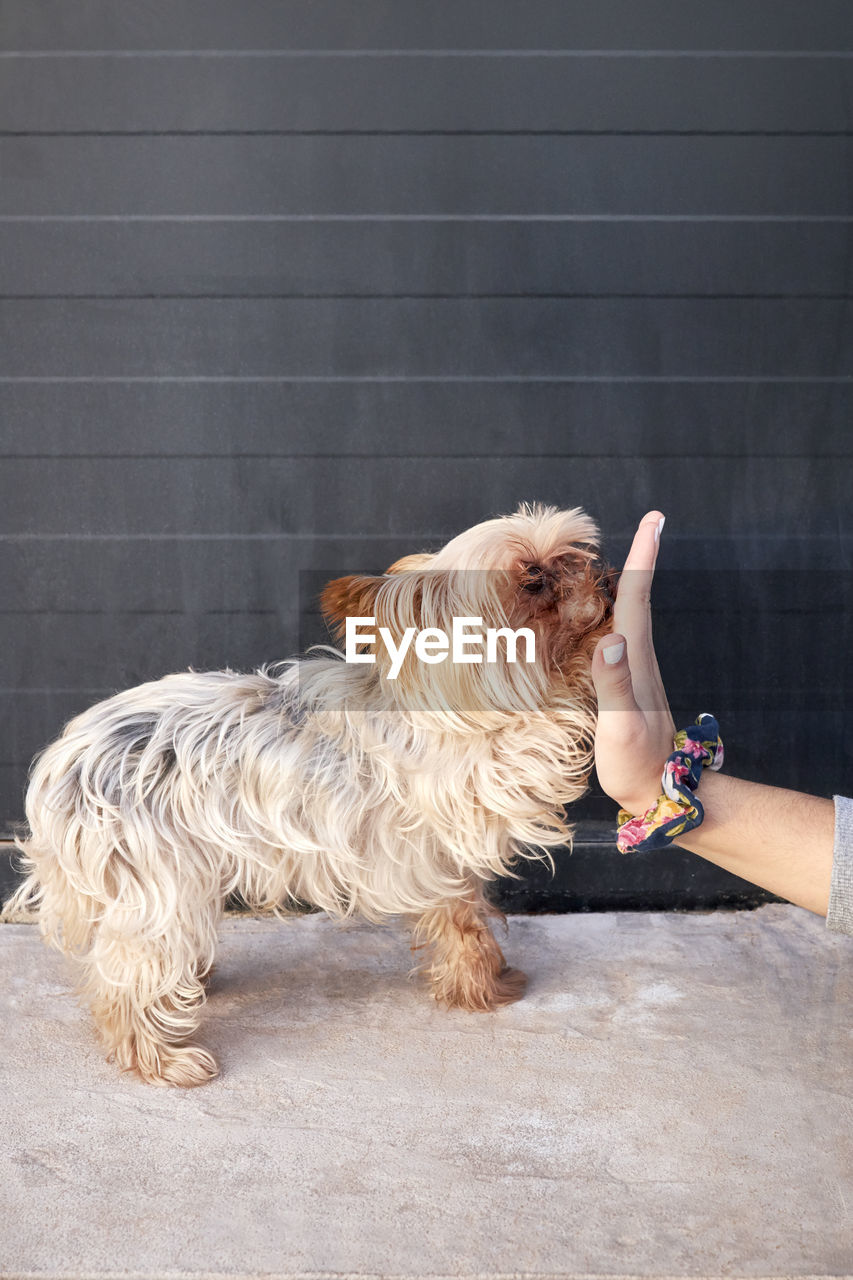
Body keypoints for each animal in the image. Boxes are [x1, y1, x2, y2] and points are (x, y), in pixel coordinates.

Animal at [1, 504, 612, 1085]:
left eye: (573, 556)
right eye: (532, 579)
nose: (605, 581)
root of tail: (60, 762)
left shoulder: (441, 855)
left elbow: (461, 919)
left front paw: (481, 982)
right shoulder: (493, 770)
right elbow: (544, 725)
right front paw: (592, 655)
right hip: (157, 881)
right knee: (129, 978)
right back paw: (160, 1060)